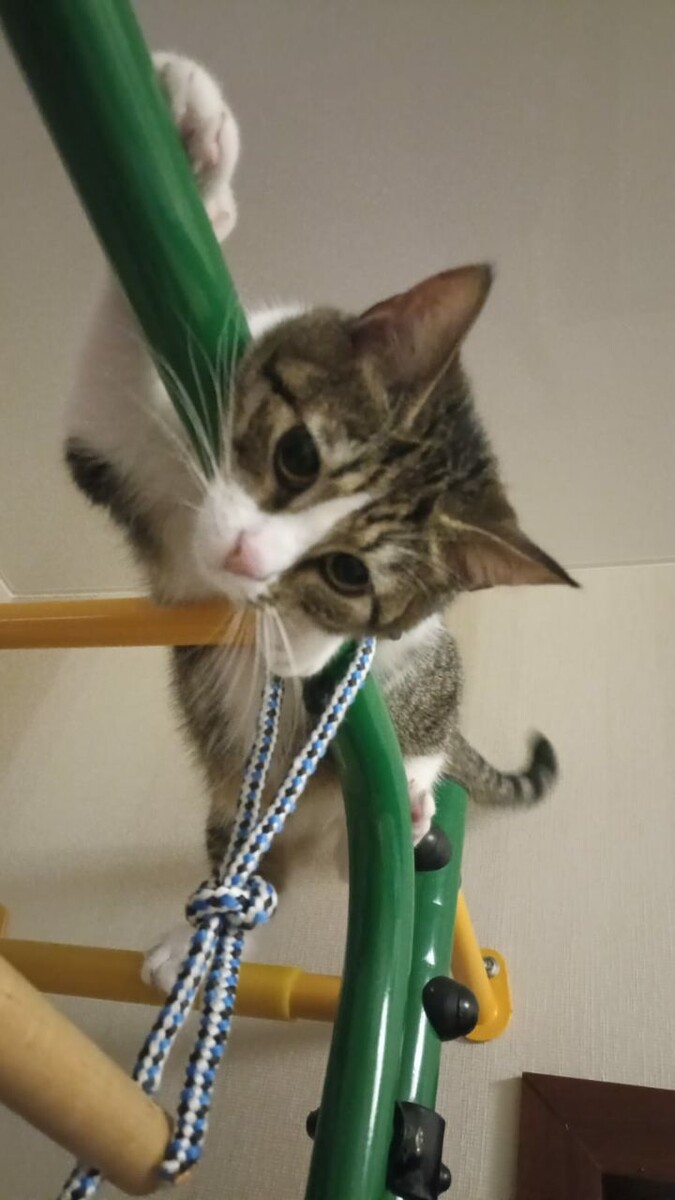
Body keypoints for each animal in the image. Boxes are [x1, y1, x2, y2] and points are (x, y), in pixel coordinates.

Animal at [65, 54, 576, 990]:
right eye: (297, 455)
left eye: (348, 573)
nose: (243, 556)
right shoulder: (125, 462)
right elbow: (112, 379)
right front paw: (192, 152)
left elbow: (332, 637)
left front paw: (296, 634)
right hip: (238, 807)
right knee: (250, 864)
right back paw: (189, 940)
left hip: (419, 693)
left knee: (381, 798)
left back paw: (412, 802)